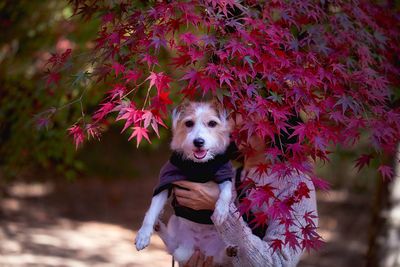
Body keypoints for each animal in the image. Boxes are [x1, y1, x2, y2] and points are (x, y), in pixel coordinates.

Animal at [135, 102, 233, 266]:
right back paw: (158, 227)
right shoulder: (166, 180)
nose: (198, 142)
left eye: (212, 123)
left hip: (217, 251)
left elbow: (226, 192)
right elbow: (152, 209)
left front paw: (220, 212)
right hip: (177, 231)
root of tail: (201, 248)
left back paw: (231, 250)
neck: (198, 165)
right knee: (172, 247)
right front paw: (143, 234)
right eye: (189, 123)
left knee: (225, 257)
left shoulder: (224, 172)